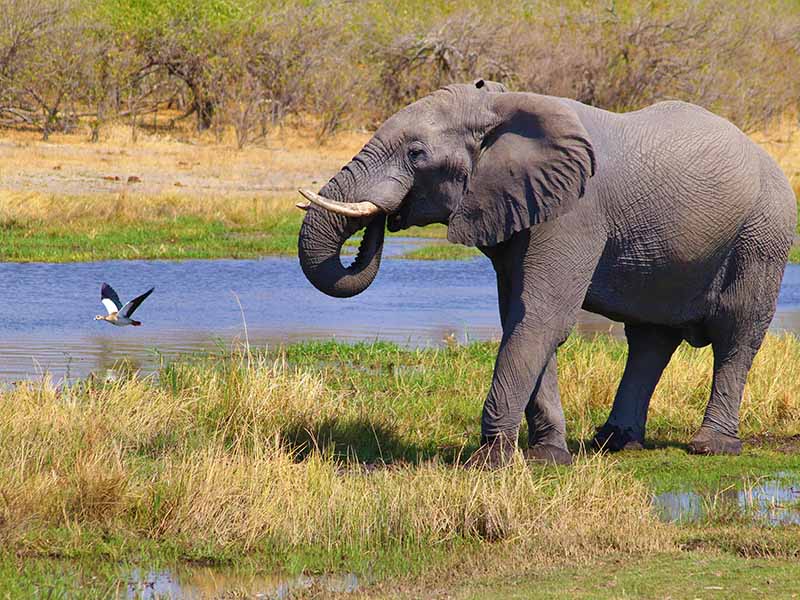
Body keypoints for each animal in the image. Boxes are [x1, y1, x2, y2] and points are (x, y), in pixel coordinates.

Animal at [296, 77, 796, 466]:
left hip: (762, 236)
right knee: (650, 339)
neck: (501, 105)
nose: (384, 218)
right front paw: (548, 457)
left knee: (737, 334)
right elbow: (521, 316)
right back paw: (613, 443)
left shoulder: (574, 213)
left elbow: (541, 317)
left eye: (416, 153)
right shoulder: (520, 208)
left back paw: (712, 447)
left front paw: (491, 463)